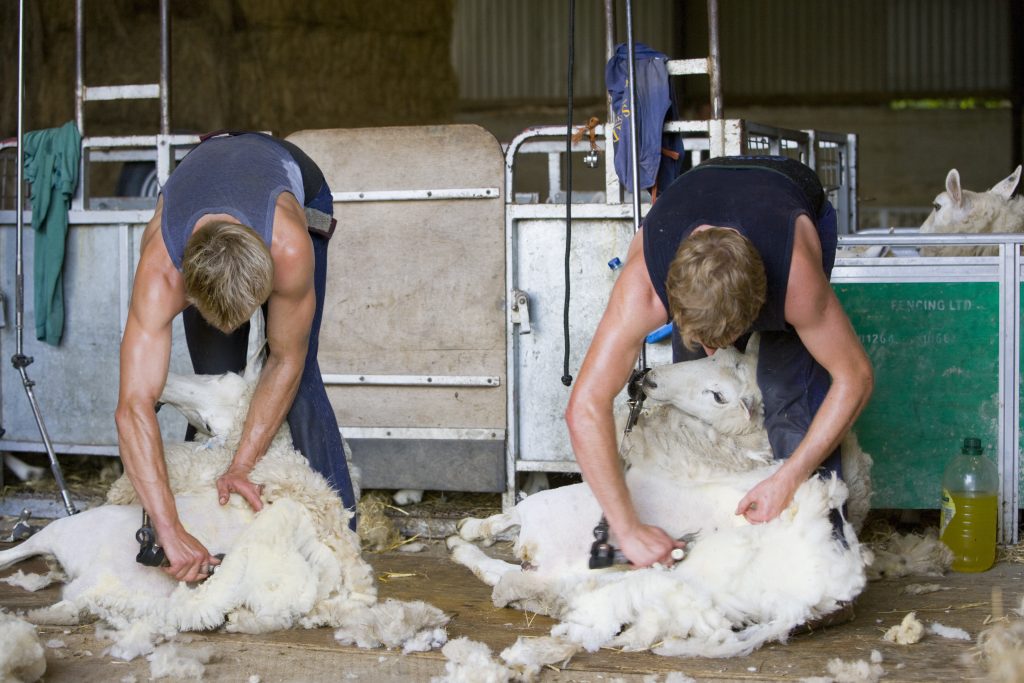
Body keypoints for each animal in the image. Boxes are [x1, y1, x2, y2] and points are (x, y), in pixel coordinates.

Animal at [448, 333, 872, 659]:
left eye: (718, 395)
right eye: (712, 354)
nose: (649, 376)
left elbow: (510, 518)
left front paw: (472, 533)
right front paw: (476, 528)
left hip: (569, 543)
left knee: (508, 570)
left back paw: (465, 547)